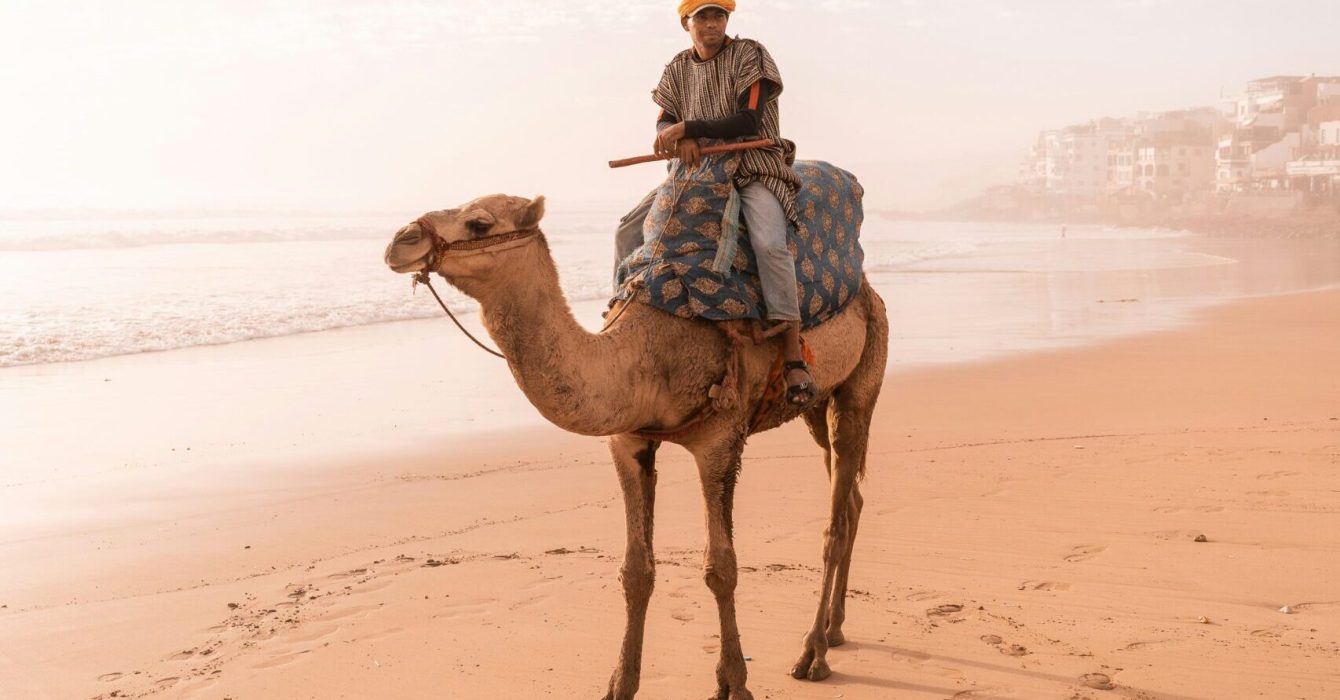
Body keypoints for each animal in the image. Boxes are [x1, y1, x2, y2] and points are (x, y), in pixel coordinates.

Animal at [388, 191, 889, 697]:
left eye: (479, 223)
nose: (400, 241)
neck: (647, 356)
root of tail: (867, 291)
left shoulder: (719, 441)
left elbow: (721, 567)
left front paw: (733, 683)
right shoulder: (628, 442)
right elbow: (635, 570)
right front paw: (620, 684)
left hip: (862, 379)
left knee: (835, 518)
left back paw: (813, 653)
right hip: (814, 406)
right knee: (851, 498)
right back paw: (835, 628)